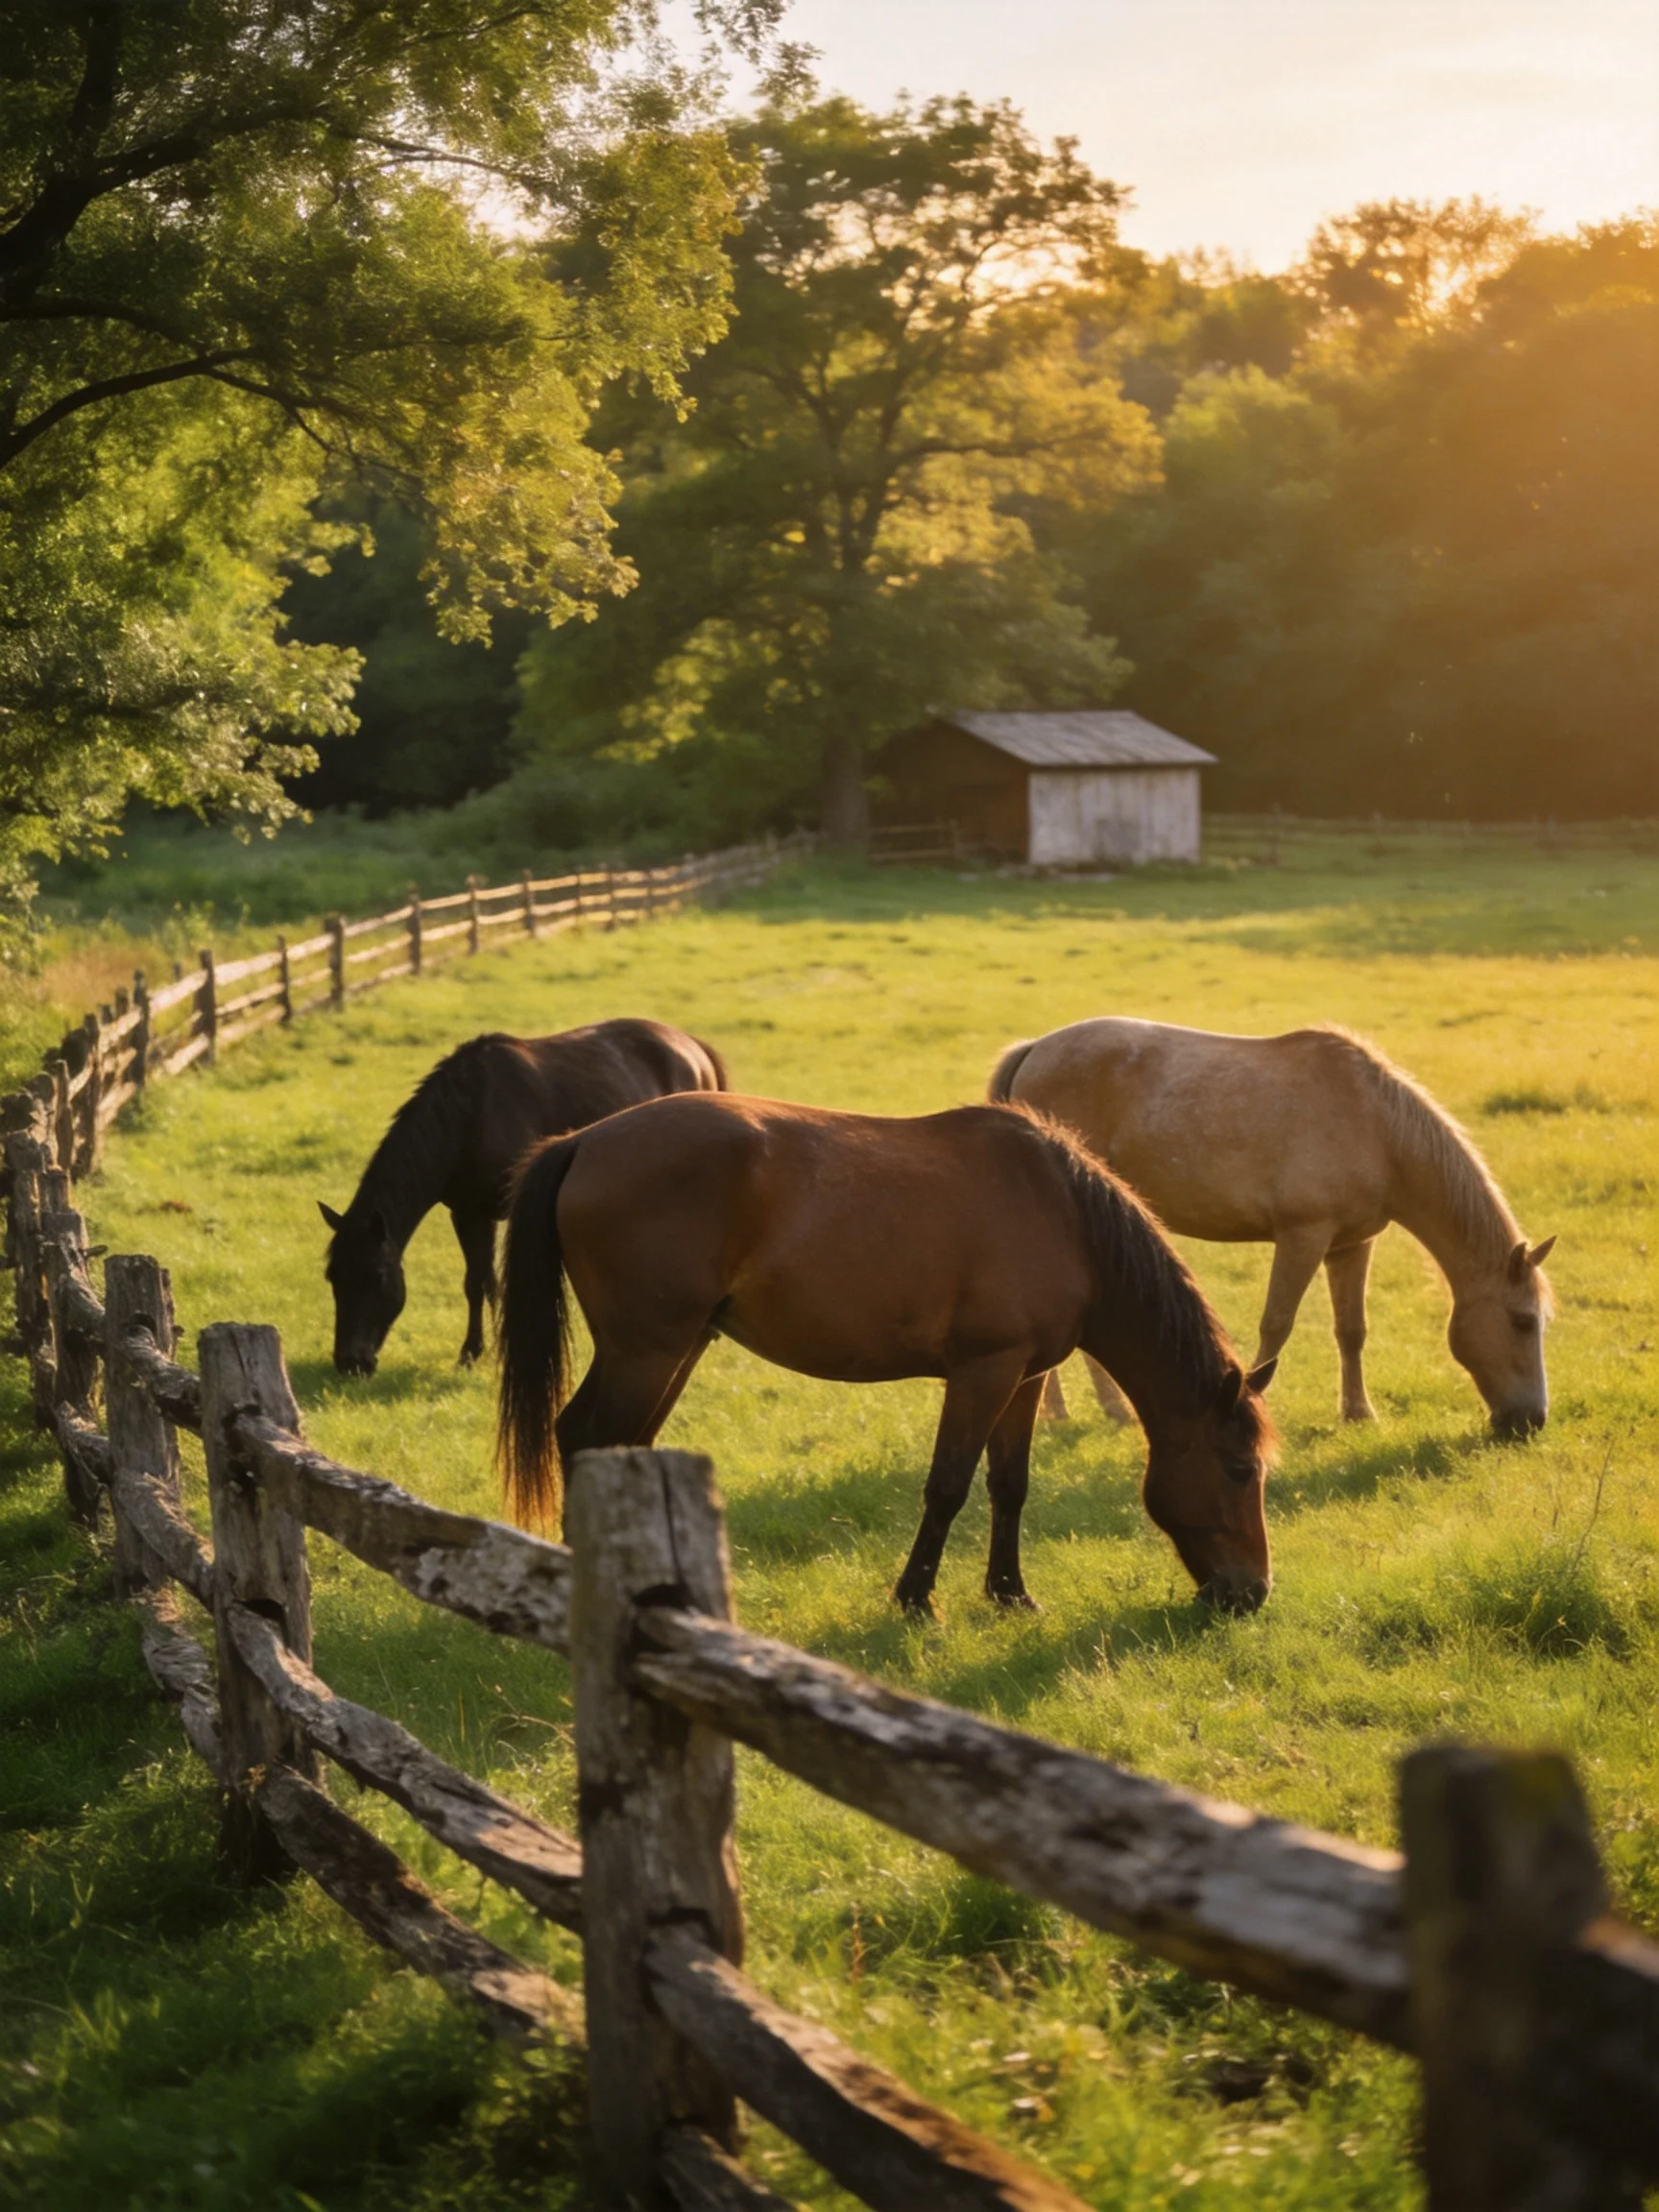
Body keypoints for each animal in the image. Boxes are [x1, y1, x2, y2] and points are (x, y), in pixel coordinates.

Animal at [319, 1018, 727, 1376]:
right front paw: (471, 1353)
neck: (470, 1116)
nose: (350, 1363)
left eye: (376, 1276)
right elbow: (477, 1281)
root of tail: (695, 1047)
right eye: (333, 1277)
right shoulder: (467, 1212)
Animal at [496, 1092, 1278, 1617]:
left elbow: (1010, 1485)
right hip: (646, 1352)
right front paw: (915, 1599)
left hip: (673, 1350)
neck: (1065, 1216)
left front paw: (1009, 1593)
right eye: (1241, 1470)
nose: (1253, 1592)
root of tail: (584, 1141)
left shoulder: (1024, 1377)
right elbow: (948, 1486)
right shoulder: (982, 1372)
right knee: (586, 1435)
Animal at [991, 1019, 1556, 1437]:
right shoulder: (1303, 1235)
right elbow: (1276, 1324)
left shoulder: (1352, 1245)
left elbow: (1351, 1330)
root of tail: (1034, 1049)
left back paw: (1062, 1411)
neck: (1376, 1127)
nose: (1532, 1421)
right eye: (1523, 1321)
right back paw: (1100, 1411)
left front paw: (1358, 1413)